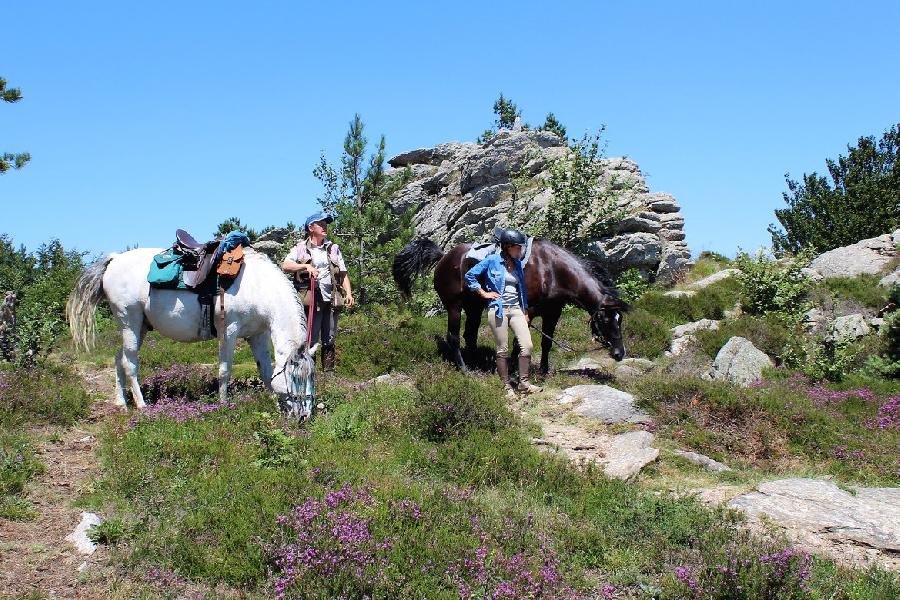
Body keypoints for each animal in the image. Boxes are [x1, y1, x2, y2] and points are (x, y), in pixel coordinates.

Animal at [67, 246, 314, 414]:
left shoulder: (258, 334)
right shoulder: (229, 331)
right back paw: (142, 405)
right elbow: (225, 369)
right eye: (295, 377)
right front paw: (223, 402)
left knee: (119, 358)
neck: (259, 287)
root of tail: (114, 259)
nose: (304, 416)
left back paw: (121, 403)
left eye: (312, 376)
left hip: (139, 327)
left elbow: (266, 370)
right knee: (129, 363)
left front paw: (273, 401)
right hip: (129, 321)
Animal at [394, 237, 624, 372]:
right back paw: (465, 370)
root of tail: (443, 257)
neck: (551, 271)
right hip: (454, 306)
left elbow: (546, 343)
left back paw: (479, 364)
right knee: (454, 337)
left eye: (620, 319)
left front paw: (544, 370)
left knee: (470, 335)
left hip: (474, 307)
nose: (620, 354)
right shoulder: (528, 311)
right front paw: (514, 369)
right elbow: (518, 342)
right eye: (605, 320)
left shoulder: (553, 313)